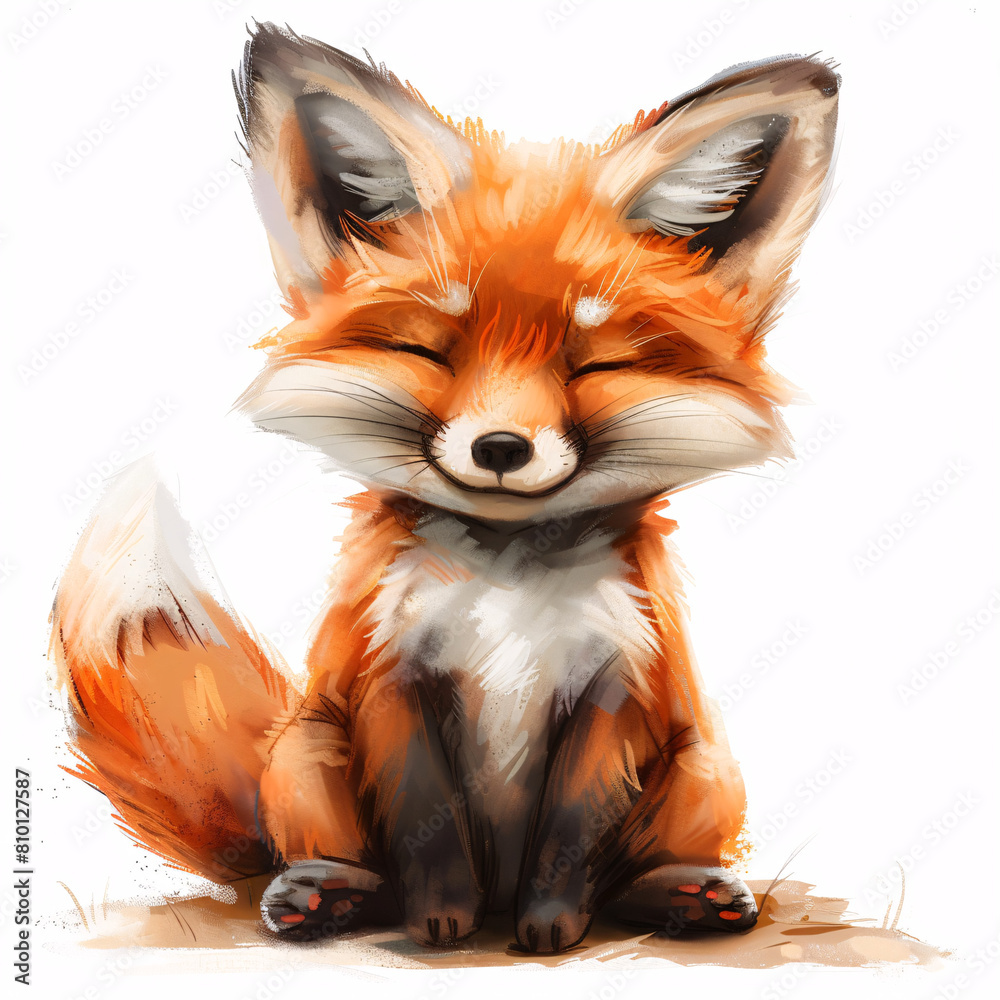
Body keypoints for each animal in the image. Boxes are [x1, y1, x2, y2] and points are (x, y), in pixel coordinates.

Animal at [50, 23, 838, 954]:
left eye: (592, 362)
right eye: (431, 349)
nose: (500, 447)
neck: (509, 584)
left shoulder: (614, 688)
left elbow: (572, 835)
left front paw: (549, 927)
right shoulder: (392, 678)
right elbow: (427, 824)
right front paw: (440, 923)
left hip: (703, 769)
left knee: (641, 863)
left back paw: (674, 893)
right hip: (305, 754)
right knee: (328, 855)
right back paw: (328, 892)